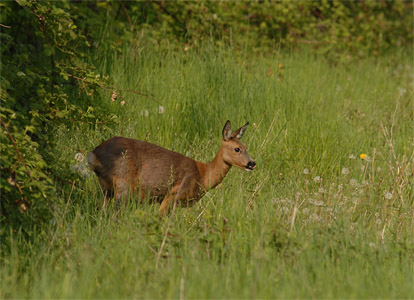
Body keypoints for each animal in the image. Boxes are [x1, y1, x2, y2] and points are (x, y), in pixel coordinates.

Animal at [88, 119, 256, 216]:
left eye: (246, 147)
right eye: (237, 149)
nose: (252, 163)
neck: (202, 175)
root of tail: (94, 154)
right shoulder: (173, 194)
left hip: (106, 188)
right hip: (123, 183)